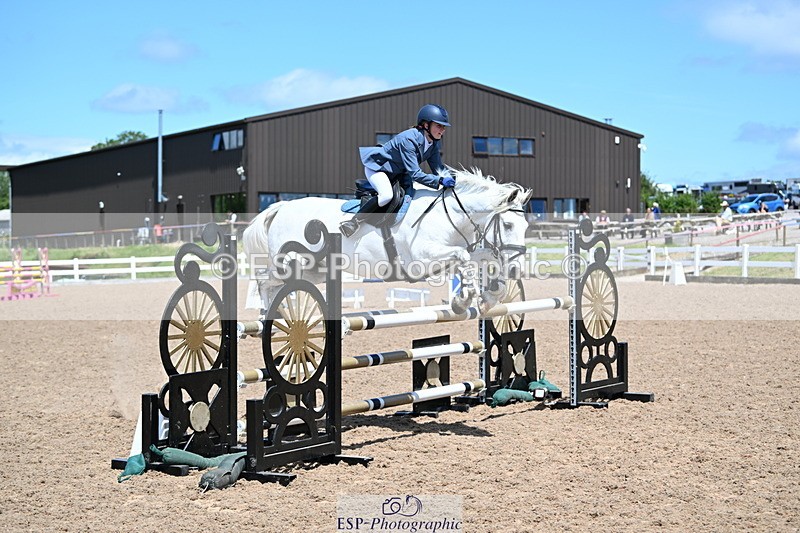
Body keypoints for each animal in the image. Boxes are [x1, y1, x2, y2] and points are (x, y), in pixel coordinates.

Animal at [242, 167, 532, 315]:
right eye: (508, 225)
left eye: (526, 226)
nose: (516, 269)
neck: (449, 212)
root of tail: (280, 207)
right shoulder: (421, 258)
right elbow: (464, 259)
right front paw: (463, 300)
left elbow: (480, 259)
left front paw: (490, 296)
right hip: (293, 265)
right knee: (264, 281)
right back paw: (270, 316)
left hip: (314, 271)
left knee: (276, 285)